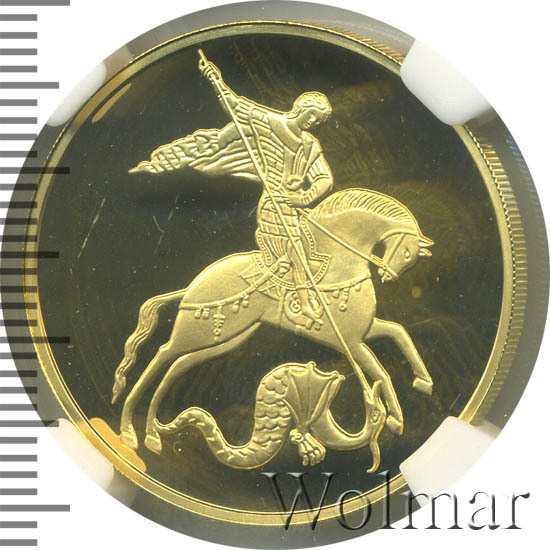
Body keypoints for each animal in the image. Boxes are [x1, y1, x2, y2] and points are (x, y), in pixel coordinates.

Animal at [112, 188, 434, 454]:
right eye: (407, 252)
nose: (389, 277)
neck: (339, 263)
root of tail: (194, 284)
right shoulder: (351, 343)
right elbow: (382, 372)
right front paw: (396, 419)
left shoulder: (361, 333)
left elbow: (399, 333)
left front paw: (424, 381)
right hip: (197, 331)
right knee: (162, 356)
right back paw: (130, 430)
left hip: (226, 338)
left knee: (177, 366)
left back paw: (151, 434)